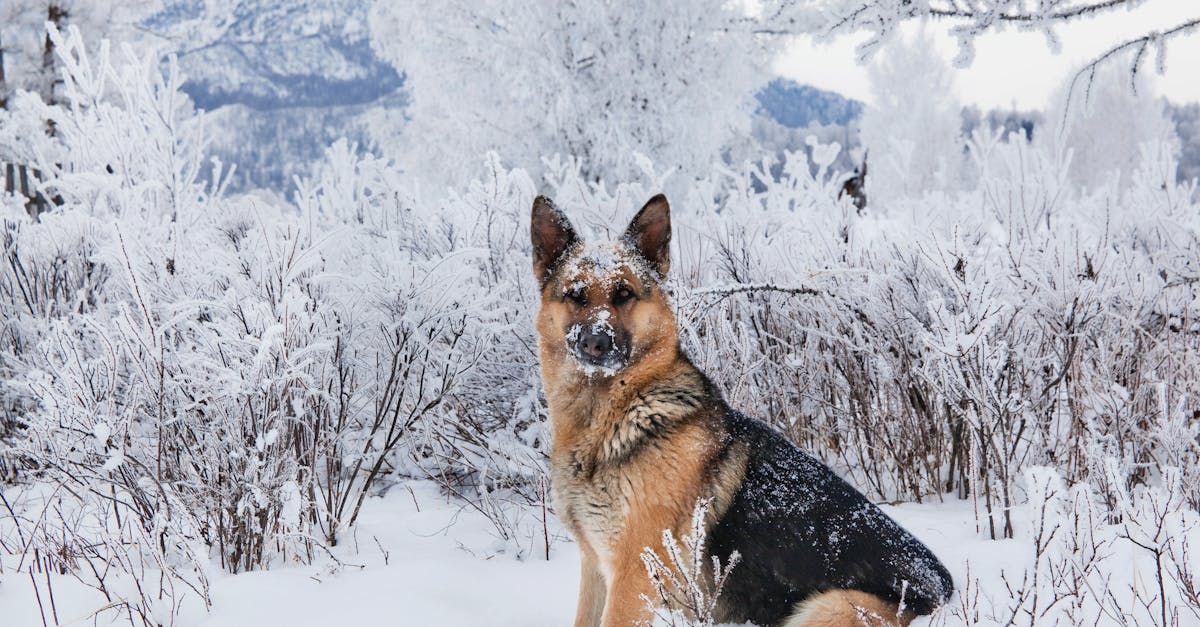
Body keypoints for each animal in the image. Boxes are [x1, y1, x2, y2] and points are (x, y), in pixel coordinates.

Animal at [535, 192, 955, 619]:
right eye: (575, 295)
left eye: (624, 294)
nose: (595, 343)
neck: (618, 414)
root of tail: (945, 588)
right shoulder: (595, 568)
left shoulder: (633, 576)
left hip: (825, 608)